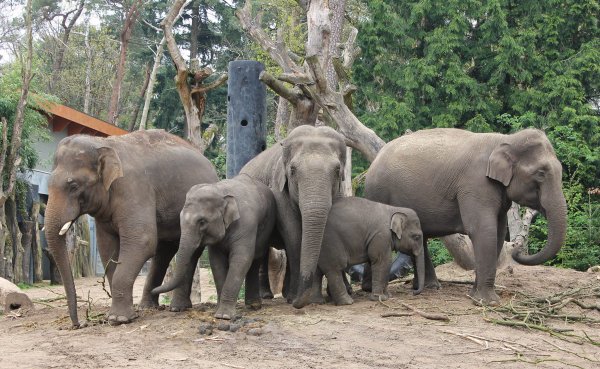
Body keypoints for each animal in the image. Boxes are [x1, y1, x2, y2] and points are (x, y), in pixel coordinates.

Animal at [45, 129, 218, 324]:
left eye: (73, 186)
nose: (79, 324)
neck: (103, 143)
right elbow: (107, 248)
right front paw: (117, 315)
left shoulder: (134, 188)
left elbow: (142, 241)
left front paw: (119, 319)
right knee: (164, 251)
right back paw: (148, 307)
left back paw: (177, 308)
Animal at [154, 174, 278, 318]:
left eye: (202, 222)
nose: (154, 290)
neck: (220, 191)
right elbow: (216, 262)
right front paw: (218, 312)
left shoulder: (246, 224)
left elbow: (241, 259)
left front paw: (224, 316)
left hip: (267, 226)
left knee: (256, 258)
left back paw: (254, 306)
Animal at [238, 126, 344, 308]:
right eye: (292, 170)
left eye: (337, 170)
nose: (297, 303)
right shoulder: (278, 189)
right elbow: (293, 233)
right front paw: (295, 298)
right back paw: (268, 296)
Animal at [366, 128, 568, 304]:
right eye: (540, 173)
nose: (518, 249)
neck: (505, 139)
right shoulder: (476, 184)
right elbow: (483, 230)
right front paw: (488, 302)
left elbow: (498, 233)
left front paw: (474, 295)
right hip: (378, 192)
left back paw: (428, 287)